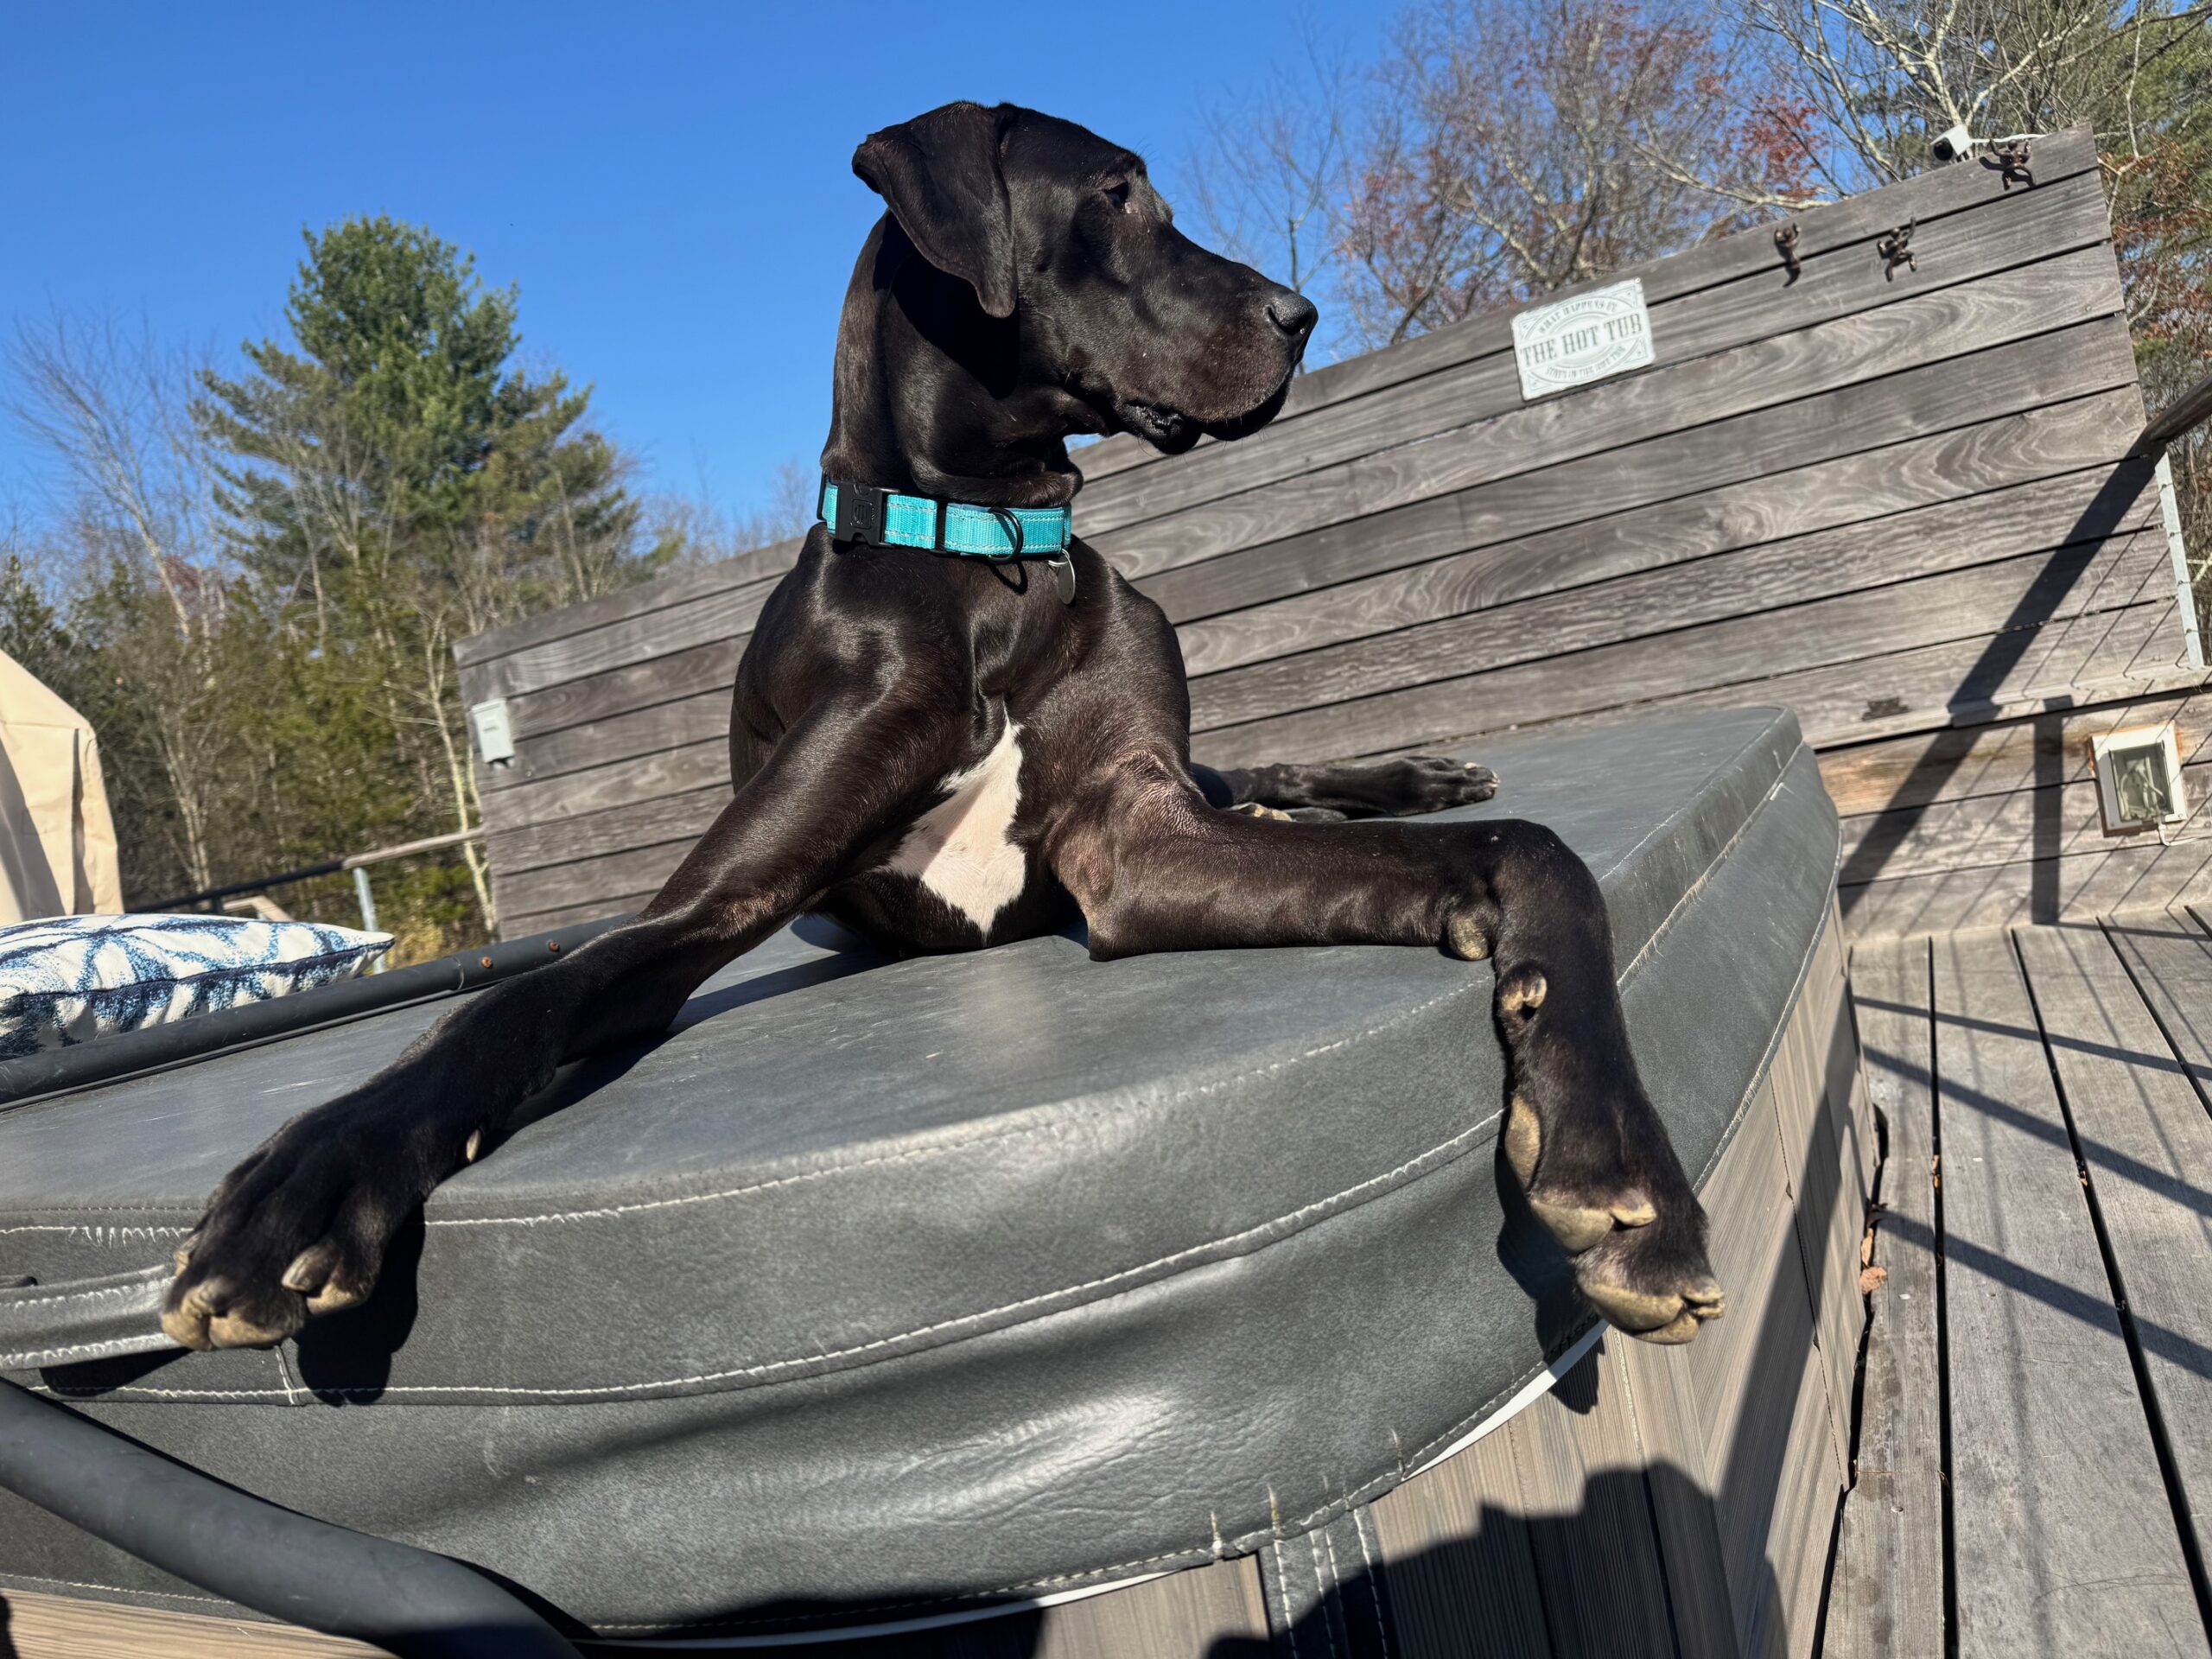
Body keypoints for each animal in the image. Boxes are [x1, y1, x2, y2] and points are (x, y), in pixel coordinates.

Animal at [164, 101, 1722, 1353]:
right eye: (1115, 197)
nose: (1300, 316)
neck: (987, 552)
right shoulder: (722, 901)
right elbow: (515, 1000)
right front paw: (313, 1177)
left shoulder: (1137, 831)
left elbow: (1537, 854)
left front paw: (1616, 1164)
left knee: (1259, 771)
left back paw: (1404, 772)